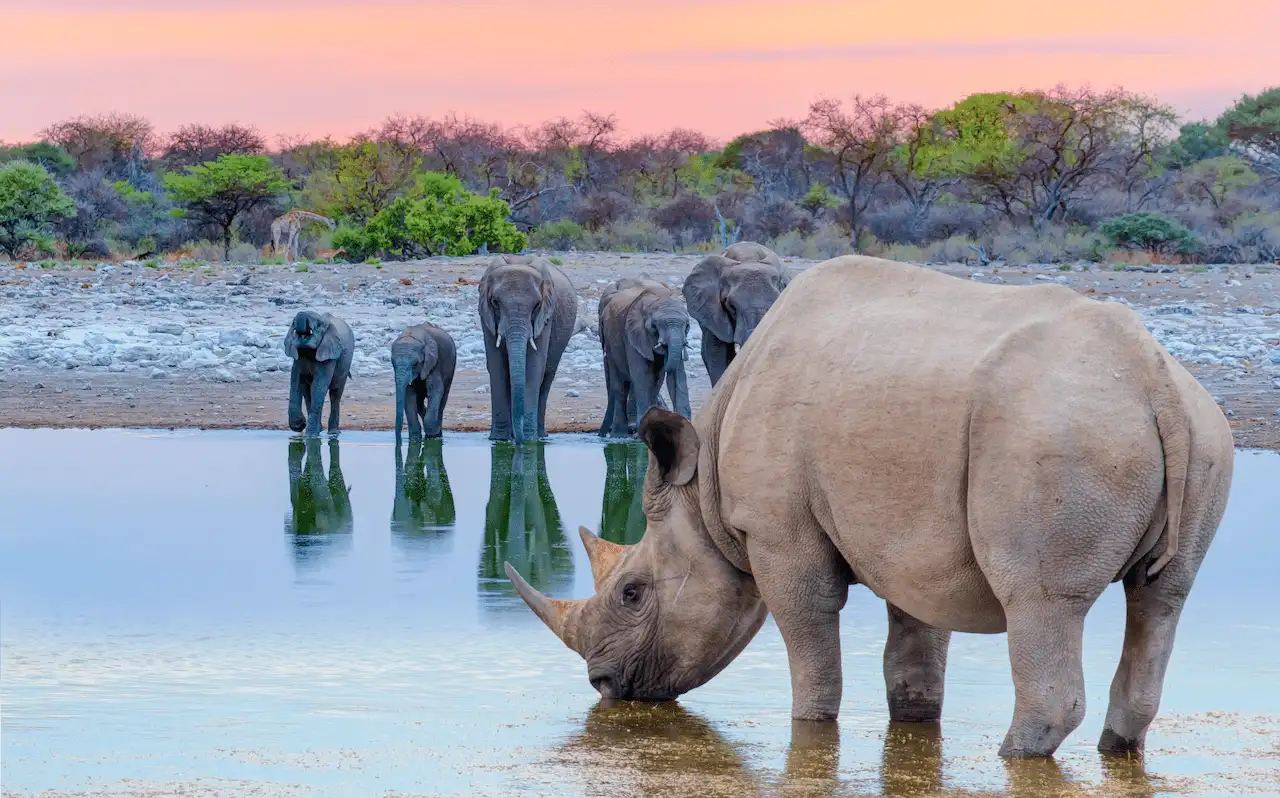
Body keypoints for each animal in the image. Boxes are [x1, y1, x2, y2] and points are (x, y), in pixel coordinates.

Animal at [478, 255, 578, 444]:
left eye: (537, 305)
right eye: (495, 303)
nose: (519, 442)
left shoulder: (546, 317)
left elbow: (534, 367)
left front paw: (529, 440)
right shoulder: (486, 317)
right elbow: (496, 367)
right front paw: (499, 440)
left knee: (547, 377)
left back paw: (540, 435)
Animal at [597, 278, 692, 438]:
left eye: (688, 326)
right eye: (654, 326)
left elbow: (676, 376)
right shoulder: (632, 335)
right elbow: (640, 374)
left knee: (654, 383)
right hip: (611, 343)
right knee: (620, 385)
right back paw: (619, 435)